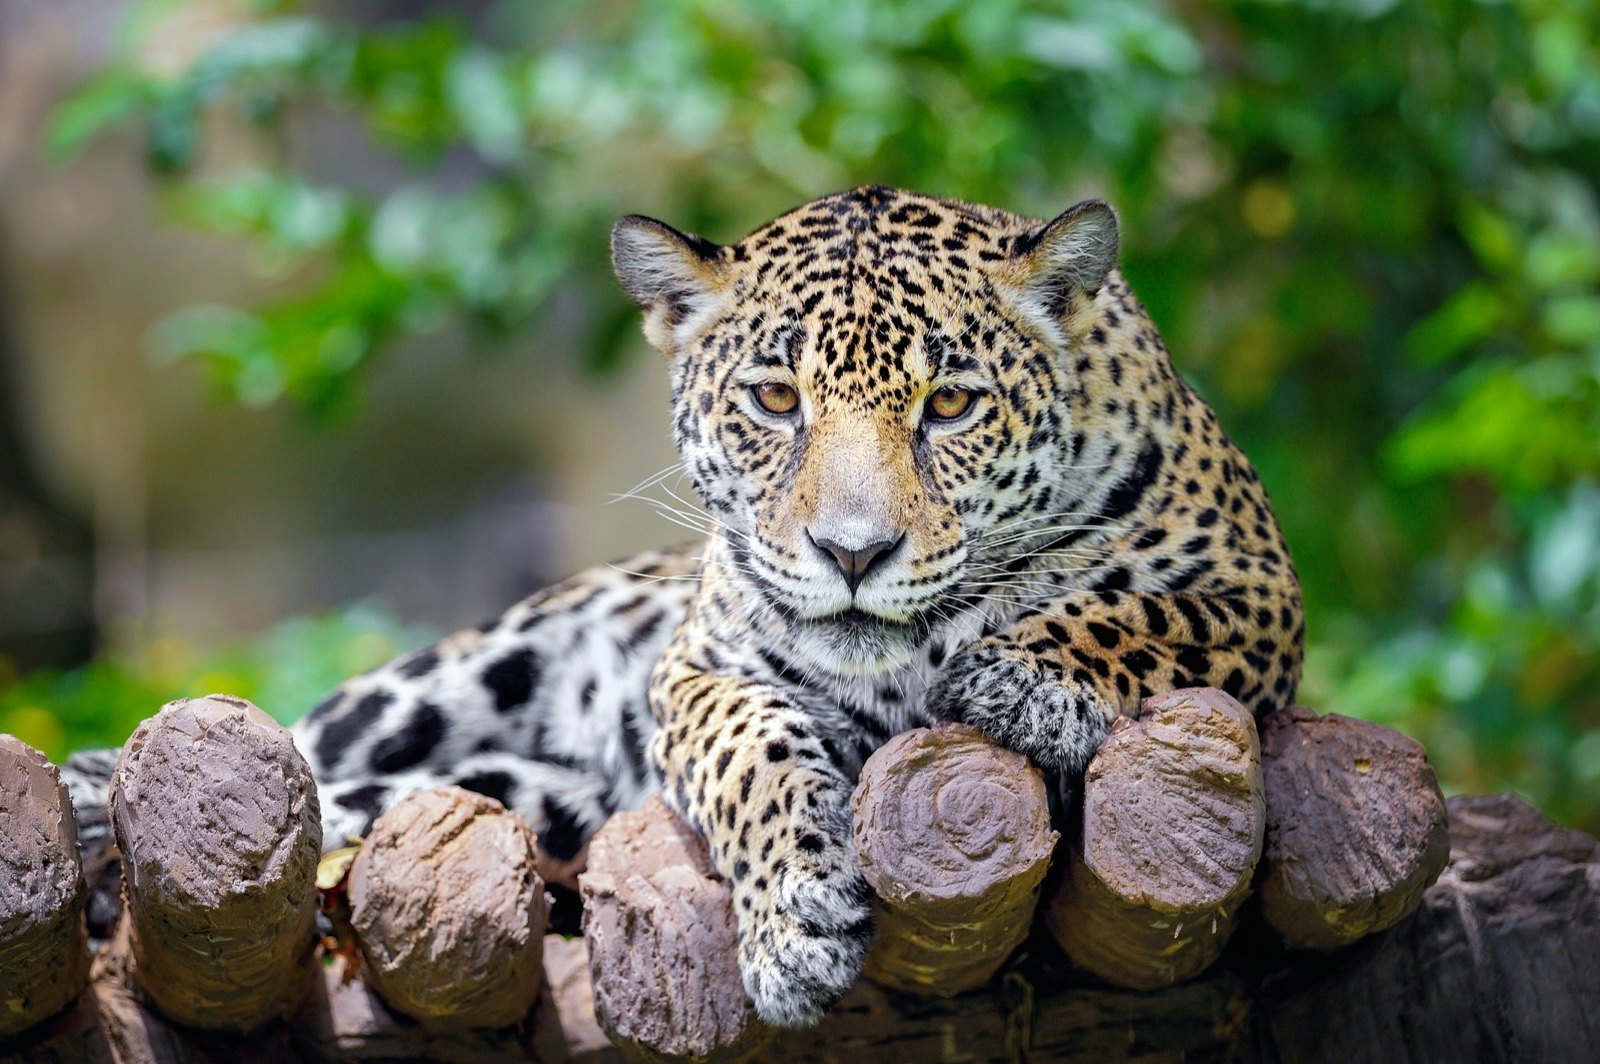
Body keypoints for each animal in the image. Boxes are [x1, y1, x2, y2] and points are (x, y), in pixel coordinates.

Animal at [62, 185, 1304, 1028]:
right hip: (458, 674)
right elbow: (749, 746)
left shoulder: (1261, 593)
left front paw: (1023, 675)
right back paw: (87, 802)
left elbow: (1148, 619)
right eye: (774, 397)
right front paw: (796, 920)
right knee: (300, 749)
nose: (852, 551)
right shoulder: (696, 668)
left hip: (536, 797)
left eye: (950, 404)